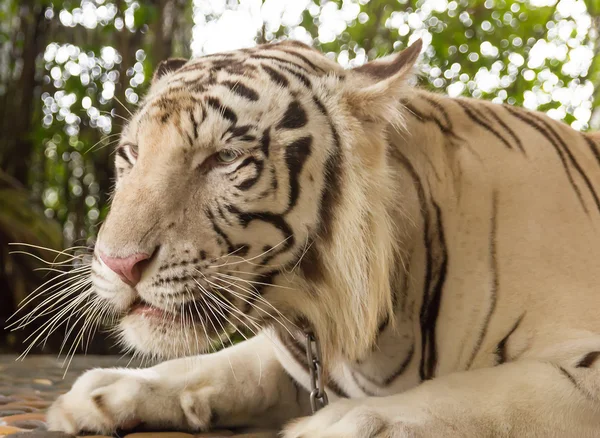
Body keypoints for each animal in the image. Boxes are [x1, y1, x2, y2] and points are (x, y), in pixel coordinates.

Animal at [48, 39, 600, 436]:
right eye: (131, 155)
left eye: (225, 158)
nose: (118, 263)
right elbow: (228, 365)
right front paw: (105, 390)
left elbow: (487, 392)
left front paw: (340, 424)